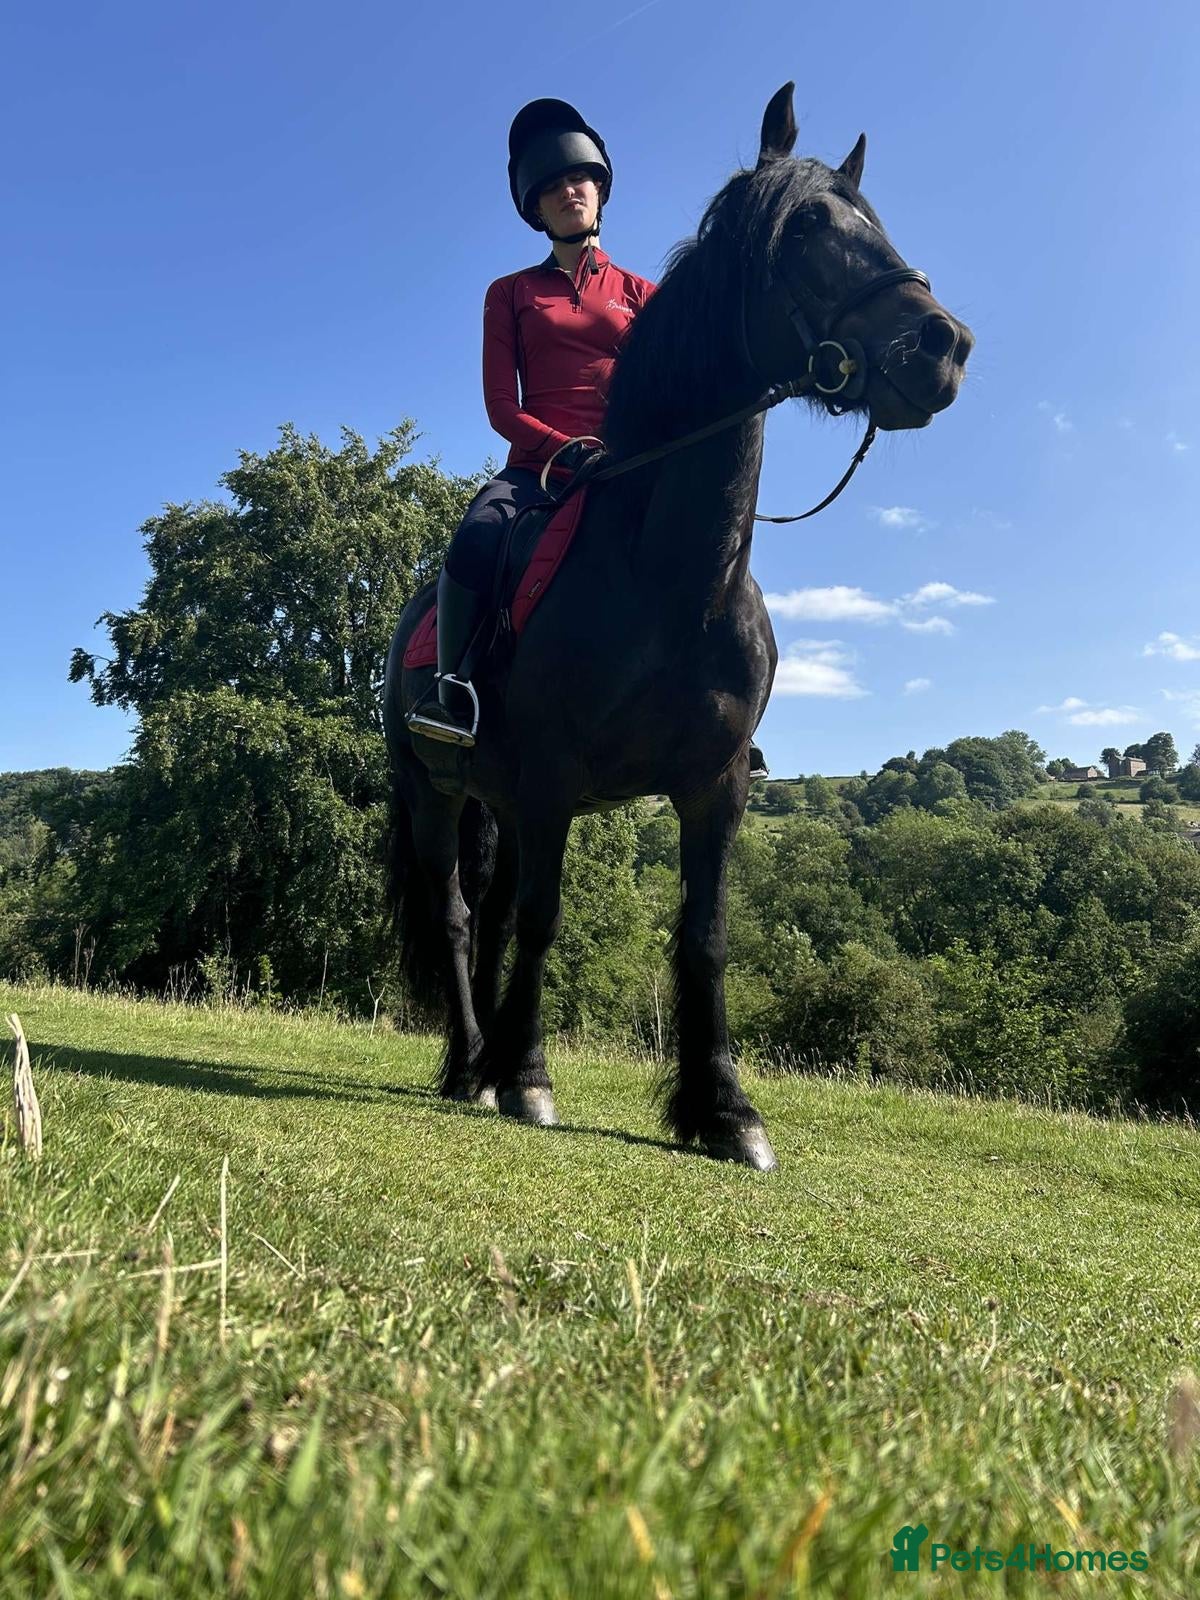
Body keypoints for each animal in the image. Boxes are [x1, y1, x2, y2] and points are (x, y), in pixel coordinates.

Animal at [382, 82, 974, 1171]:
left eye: (875, 221)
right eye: (808, 228)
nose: (942, 345)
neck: (673, 583)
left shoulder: (713, 785)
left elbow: (704, 933)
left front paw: (725, 1109)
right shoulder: (551, 779)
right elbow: (545, 919)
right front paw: (527, 1078)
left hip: (502, 803)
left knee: (491, 914)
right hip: (434, 791)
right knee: (457, 916)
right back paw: (472, 1064)